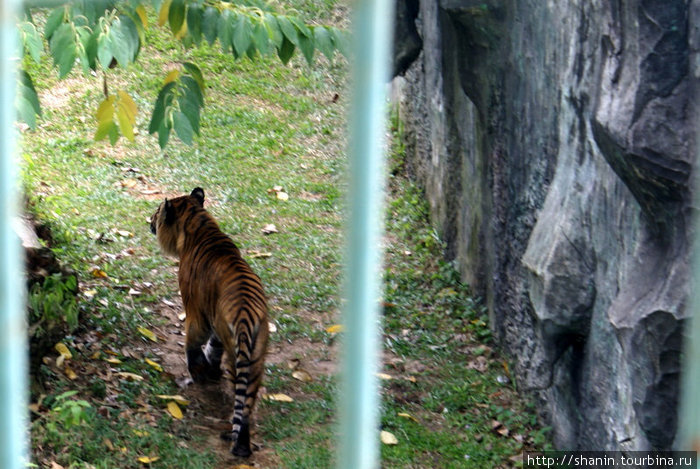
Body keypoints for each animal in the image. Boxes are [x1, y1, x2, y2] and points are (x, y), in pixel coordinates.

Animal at [148, 186, 268, 458]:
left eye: (158, 212)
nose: (148, 220)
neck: (197, 223)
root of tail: (247, 315)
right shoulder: (215, 321)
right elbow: (213, 345)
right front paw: (210, 371)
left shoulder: (195, 312)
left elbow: (193, 343)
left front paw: (198, 372)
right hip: (256, 356)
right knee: (247, 406)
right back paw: (243, 447)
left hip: (239, 356)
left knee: (241, 401)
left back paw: (238, 446)